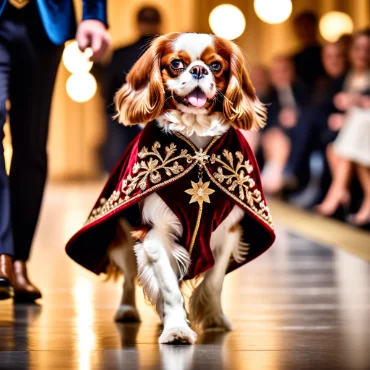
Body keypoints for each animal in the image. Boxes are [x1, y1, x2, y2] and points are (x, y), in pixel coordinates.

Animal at [66, 31, 274, 344]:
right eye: (176, 64)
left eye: (216, 66)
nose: (198, 70)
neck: (196, 144)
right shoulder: (155, 233)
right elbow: (170, 290)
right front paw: (177, 330)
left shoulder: (228, 233)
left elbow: (214, 282)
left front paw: (213, 318)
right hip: (123, 240)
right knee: (129, 279)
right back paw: (128, 311)